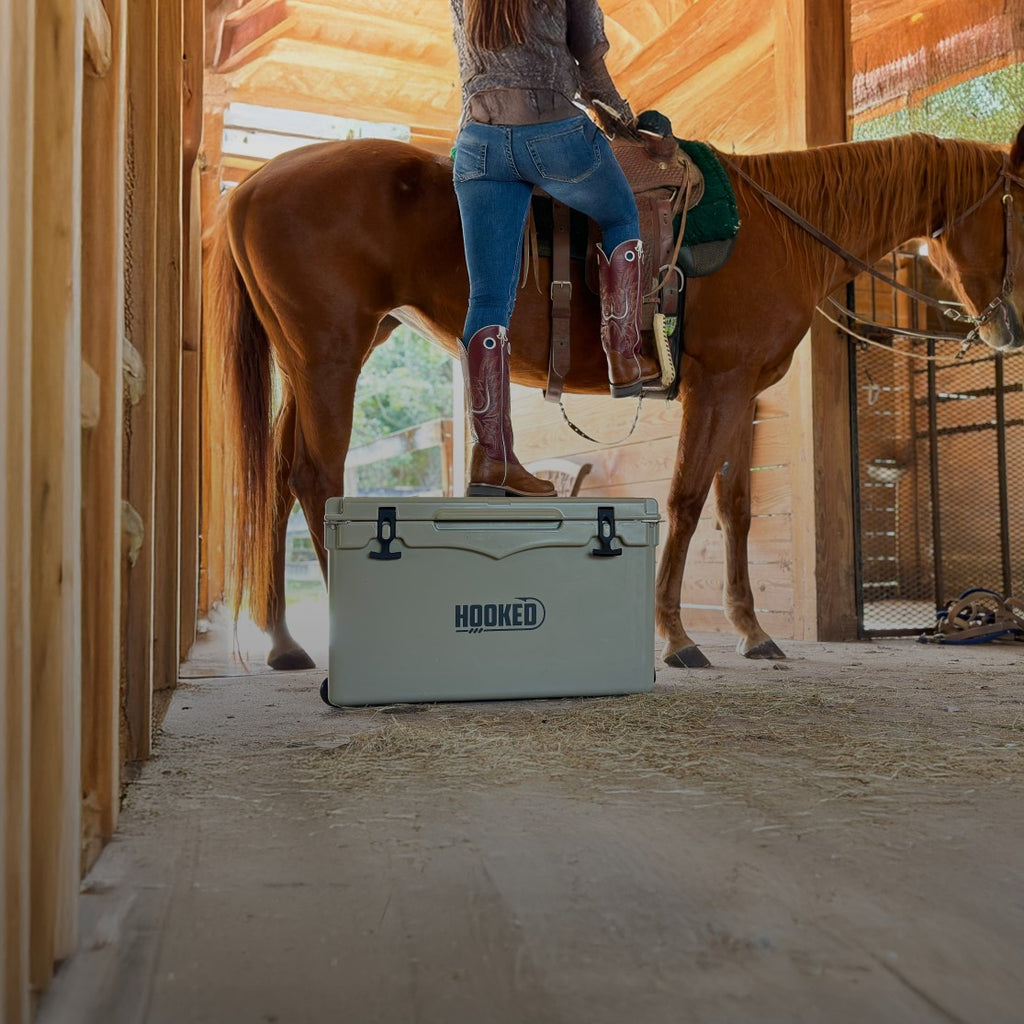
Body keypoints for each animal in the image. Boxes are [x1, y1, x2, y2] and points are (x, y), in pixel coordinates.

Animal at [205, 123, 1024, 667]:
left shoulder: (744, 393)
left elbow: (735, 508)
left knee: (277, 482)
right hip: (329, 358)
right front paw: (678, 636)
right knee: (315, 477)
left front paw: (752, 631)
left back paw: (283, 642)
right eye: (1017, 211)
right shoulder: (717, 385)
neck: (777, 231)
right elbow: (686, 500)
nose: (1008, 328)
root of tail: (251, 187)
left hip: (311, 361)